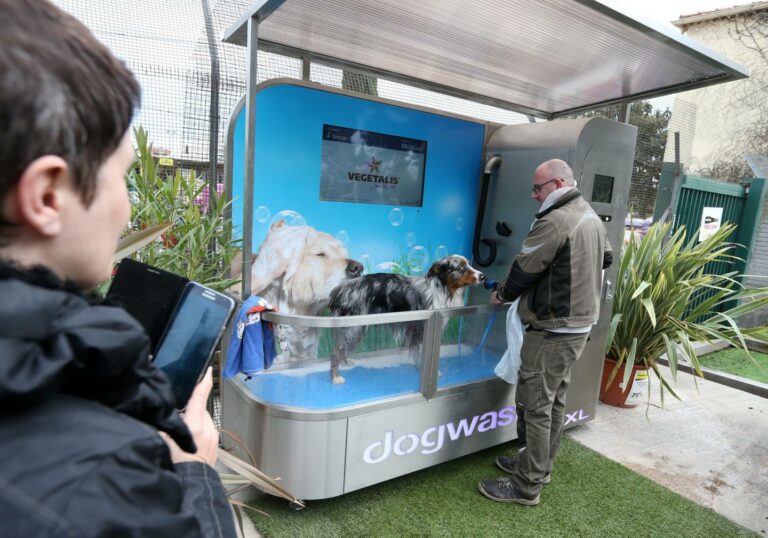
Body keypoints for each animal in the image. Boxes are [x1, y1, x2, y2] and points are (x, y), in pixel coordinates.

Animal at [328, 254, 484, 382]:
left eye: (469, 264)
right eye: (461, 268)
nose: (483, 276)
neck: (441, 289)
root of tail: (340, 289)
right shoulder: (420, 330)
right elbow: (420, 354)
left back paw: (345, 363)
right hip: (355, 328)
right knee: (336, 351)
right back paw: (335, 378)